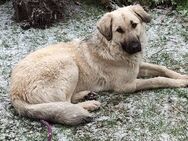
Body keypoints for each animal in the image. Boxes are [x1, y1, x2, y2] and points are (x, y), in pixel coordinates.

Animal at [9, 4, 188, 125]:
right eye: (119, 30)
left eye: (134, 24)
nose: (136, 47)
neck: (113, 49)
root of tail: (14, 93)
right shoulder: (127, 85)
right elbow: (158, 80)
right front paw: (179, 82)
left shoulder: (137, 67)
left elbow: (161, 68)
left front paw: (182, 76)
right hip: (68, 64)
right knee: (63, 102)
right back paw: (89, 104)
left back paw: (87, 95)